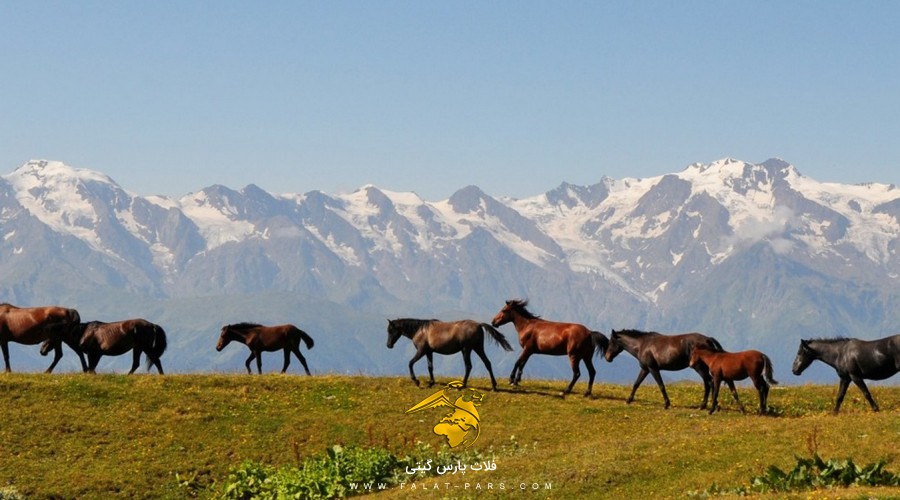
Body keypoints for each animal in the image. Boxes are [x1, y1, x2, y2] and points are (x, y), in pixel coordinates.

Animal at [384, 316, 512, 390]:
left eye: (391, 330)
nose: (388, 345)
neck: (420, 330)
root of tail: (479, 324)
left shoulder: (421, 351)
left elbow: (410, 363)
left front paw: (416, 381)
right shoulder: (429, 352)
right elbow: (430, 367)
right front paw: (431, 383)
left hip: (466, 350)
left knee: (468, 366)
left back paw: (462, 386)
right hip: (478, 348)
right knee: (487, 363)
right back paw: (494, 386)